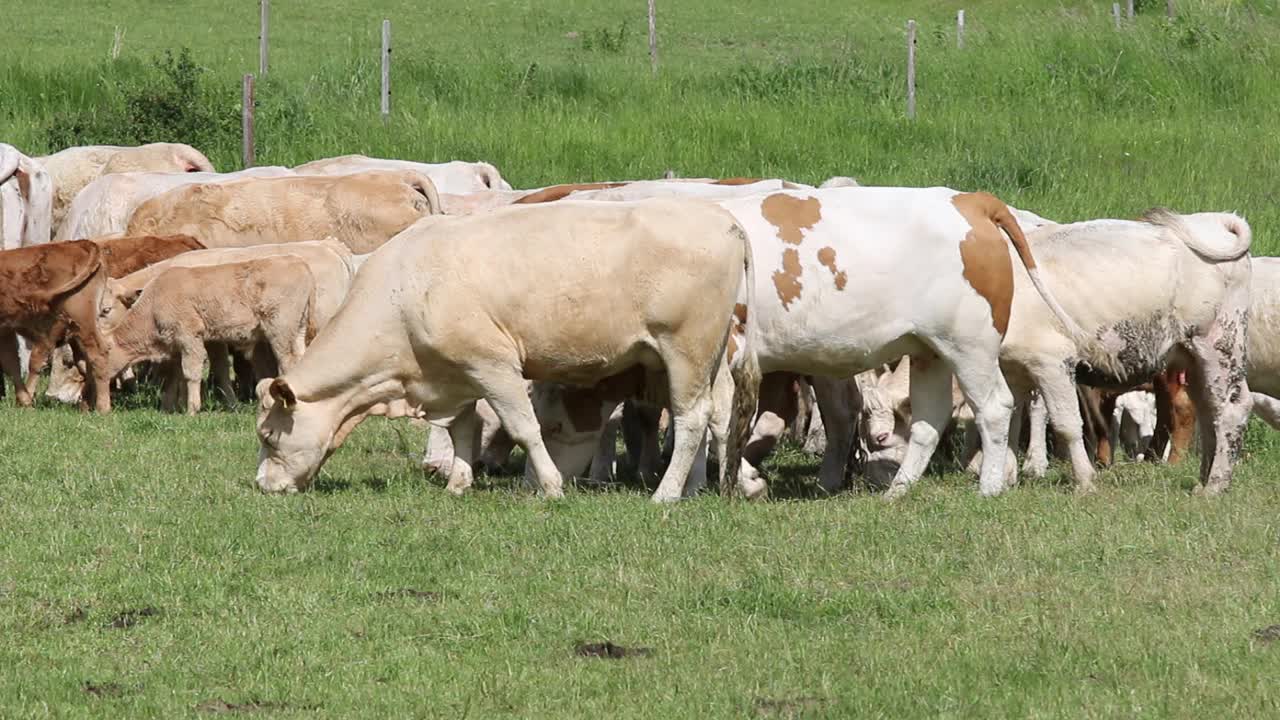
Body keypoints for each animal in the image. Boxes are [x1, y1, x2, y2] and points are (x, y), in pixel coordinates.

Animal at [0, 239, 112, 409]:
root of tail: (81, 243)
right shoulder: (6, 329)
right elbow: (11, 362)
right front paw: (24, 401)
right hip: (78, 329)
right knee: (85, 361)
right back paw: (86, 406)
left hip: (83, 321)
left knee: (98, 354)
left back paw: (103, 407)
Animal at [102, 257, 317, 415]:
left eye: (106, 309)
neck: (153, 305)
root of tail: (300, 264)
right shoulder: (184, 345)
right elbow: (180, 375)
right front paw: (171, 408)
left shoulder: (190, 337)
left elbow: (191, 373)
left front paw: (191, 410)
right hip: (298, 330)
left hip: (280, 331)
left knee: (286, 362)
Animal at [257, 198, 757, 502]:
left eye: (267, 437)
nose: (261, 484)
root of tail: (723, 218)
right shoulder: (453, 373)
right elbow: (462, 429)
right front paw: (458, 483)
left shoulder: (493, 365)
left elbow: (523, 427)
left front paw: (551, 486)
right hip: (710, 356)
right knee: (719, 414)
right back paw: (710, 486)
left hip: (685, 350)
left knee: (691, 418)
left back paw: (666, 494)